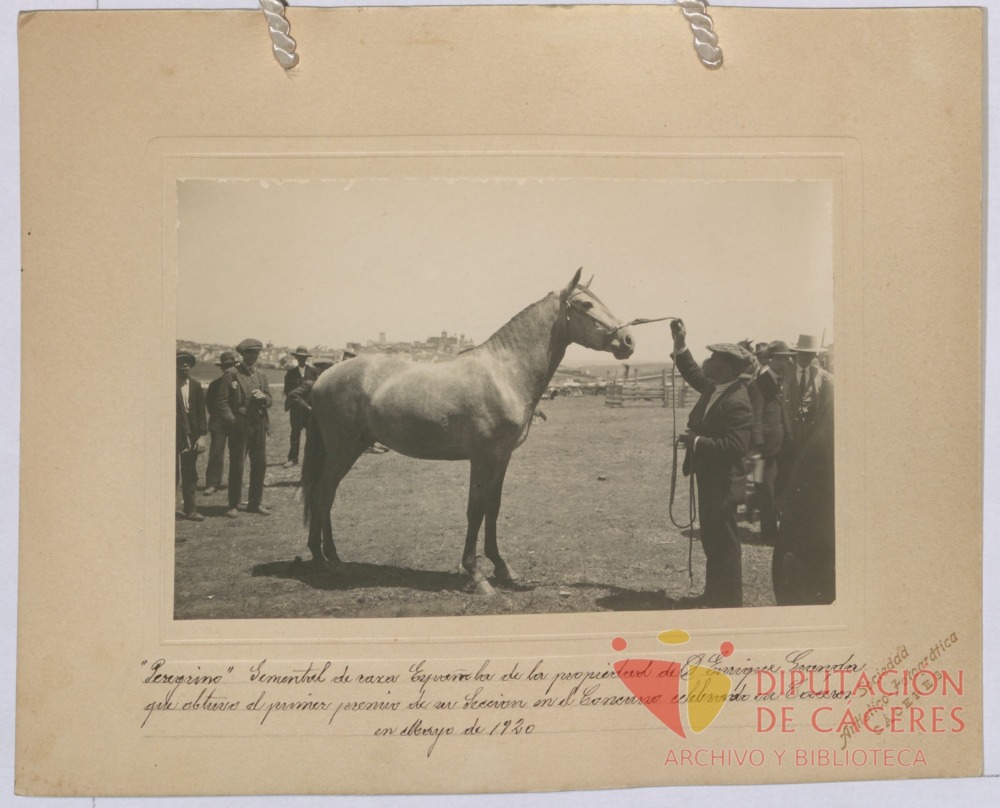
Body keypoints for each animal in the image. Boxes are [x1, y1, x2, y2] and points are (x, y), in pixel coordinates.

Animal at [300, 268, 636, 595]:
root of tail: (322, 377)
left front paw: (503, 568)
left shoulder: (502, 457)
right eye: (586, 304)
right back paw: (328, 560)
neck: (503, 373)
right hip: (342, 449)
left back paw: (324, 557)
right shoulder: (482, 457)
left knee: (324, 494)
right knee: (324, 493)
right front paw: (476, 575)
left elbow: (493, 507)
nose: (628, 340)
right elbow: (475, 509)